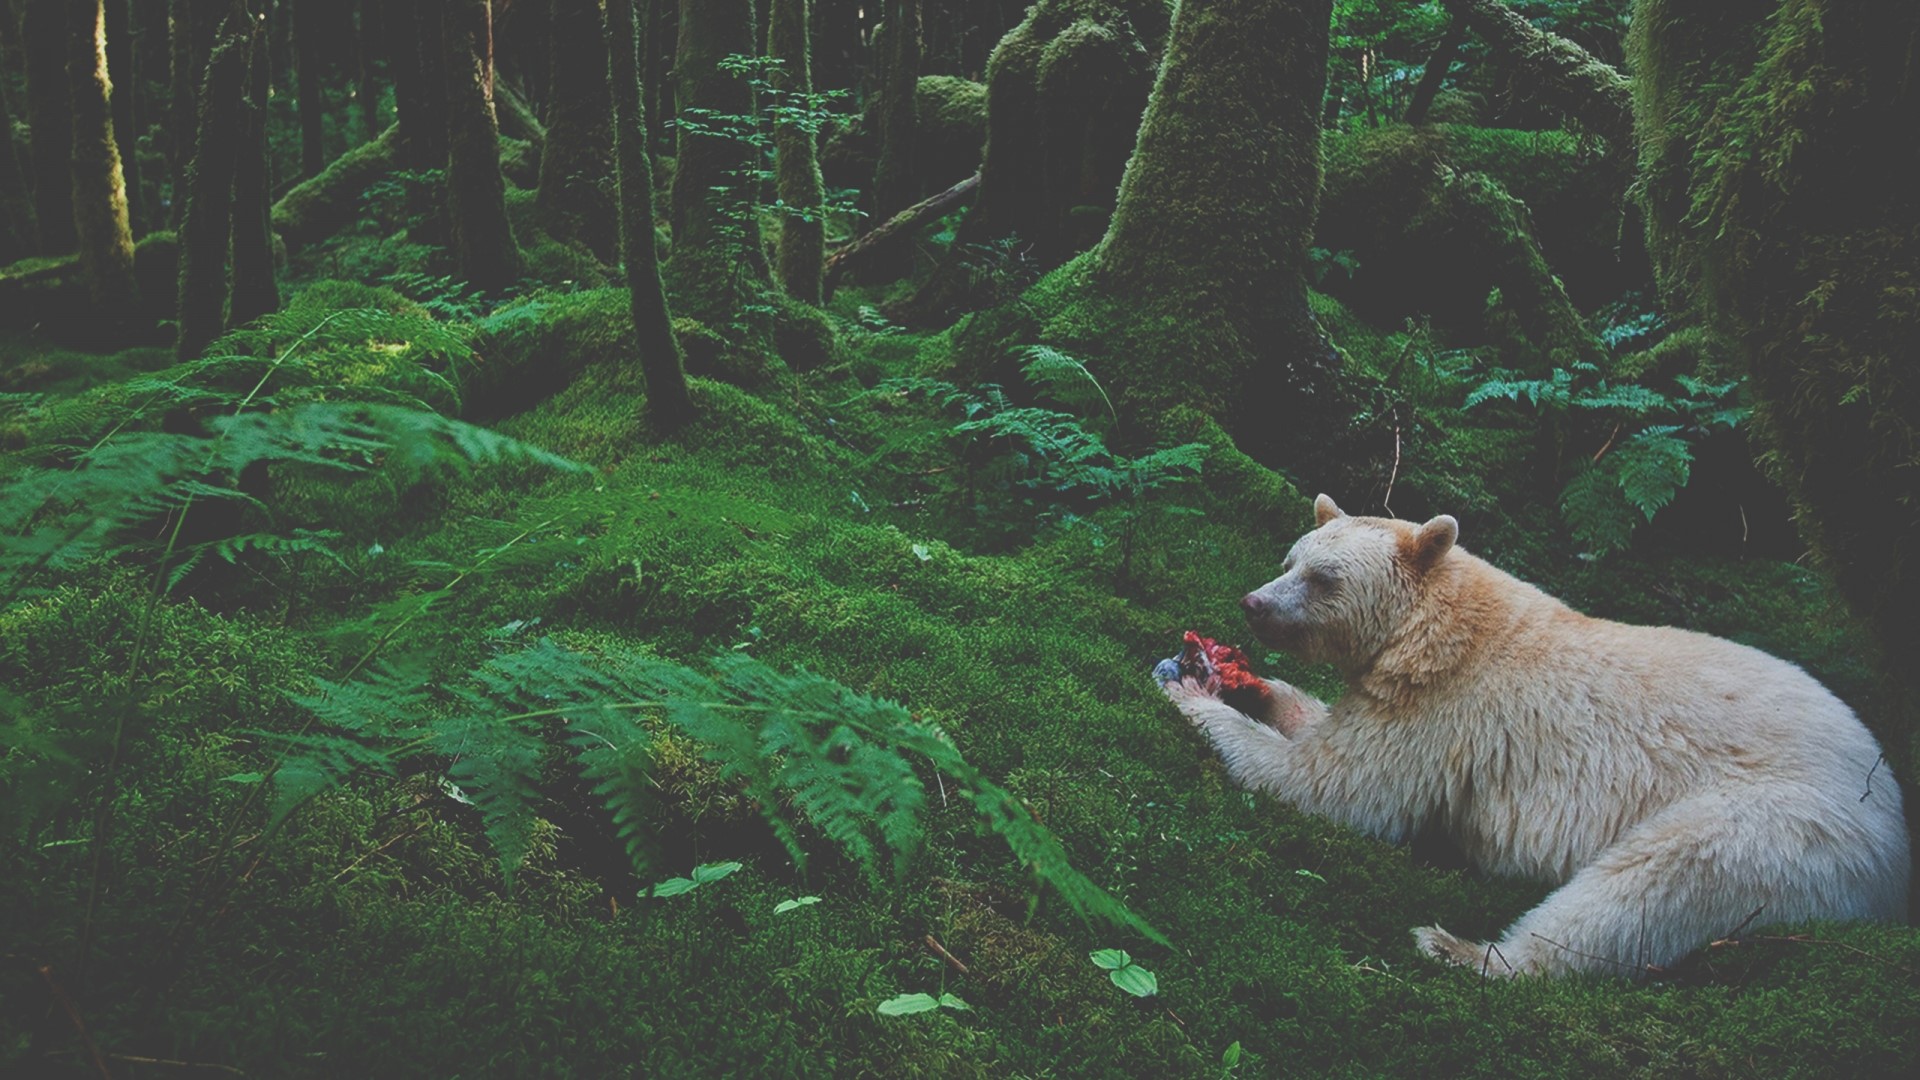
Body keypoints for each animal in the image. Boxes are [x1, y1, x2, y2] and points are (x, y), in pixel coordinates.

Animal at [1161, 494, 1911, 977]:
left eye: (1323, 578)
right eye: (1290, 557)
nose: (1254, 603)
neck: (1436, 627)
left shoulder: (1444, 712)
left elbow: (1336, 787)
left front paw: (1193, 692)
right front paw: (1252, 685)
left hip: (1787, 826)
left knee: (1655, 882)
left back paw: (1463, 949)